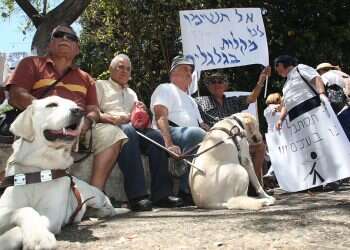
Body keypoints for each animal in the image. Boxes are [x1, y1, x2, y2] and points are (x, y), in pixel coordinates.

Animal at [0, 96, 127, 250]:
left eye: (76, 105)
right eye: (52, 105)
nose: (79, 111)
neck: (39, 169)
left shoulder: (52, 215)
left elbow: (27, 217)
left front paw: (38, 237)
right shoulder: (5, 209)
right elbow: (24, 209)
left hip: (96, 197)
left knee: (109, 207)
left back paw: (104, 211)